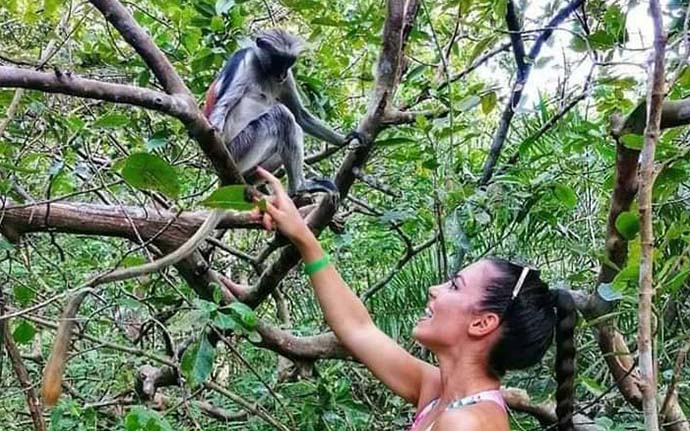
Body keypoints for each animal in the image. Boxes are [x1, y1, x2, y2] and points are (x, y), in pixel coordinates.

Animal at [203, 30, 354, 197]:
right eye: (278, 62)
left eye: (288, 63)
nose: (282, 75)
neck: (263, 69)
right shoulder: (246, 61)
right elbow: (224, 103)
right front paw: (216, 130)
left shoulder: (288, 77)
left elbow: (300, 115)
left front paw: (346, 139)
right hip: (238, 150)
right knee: (282, 116)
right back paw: (298, 189)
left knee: (294, 127)